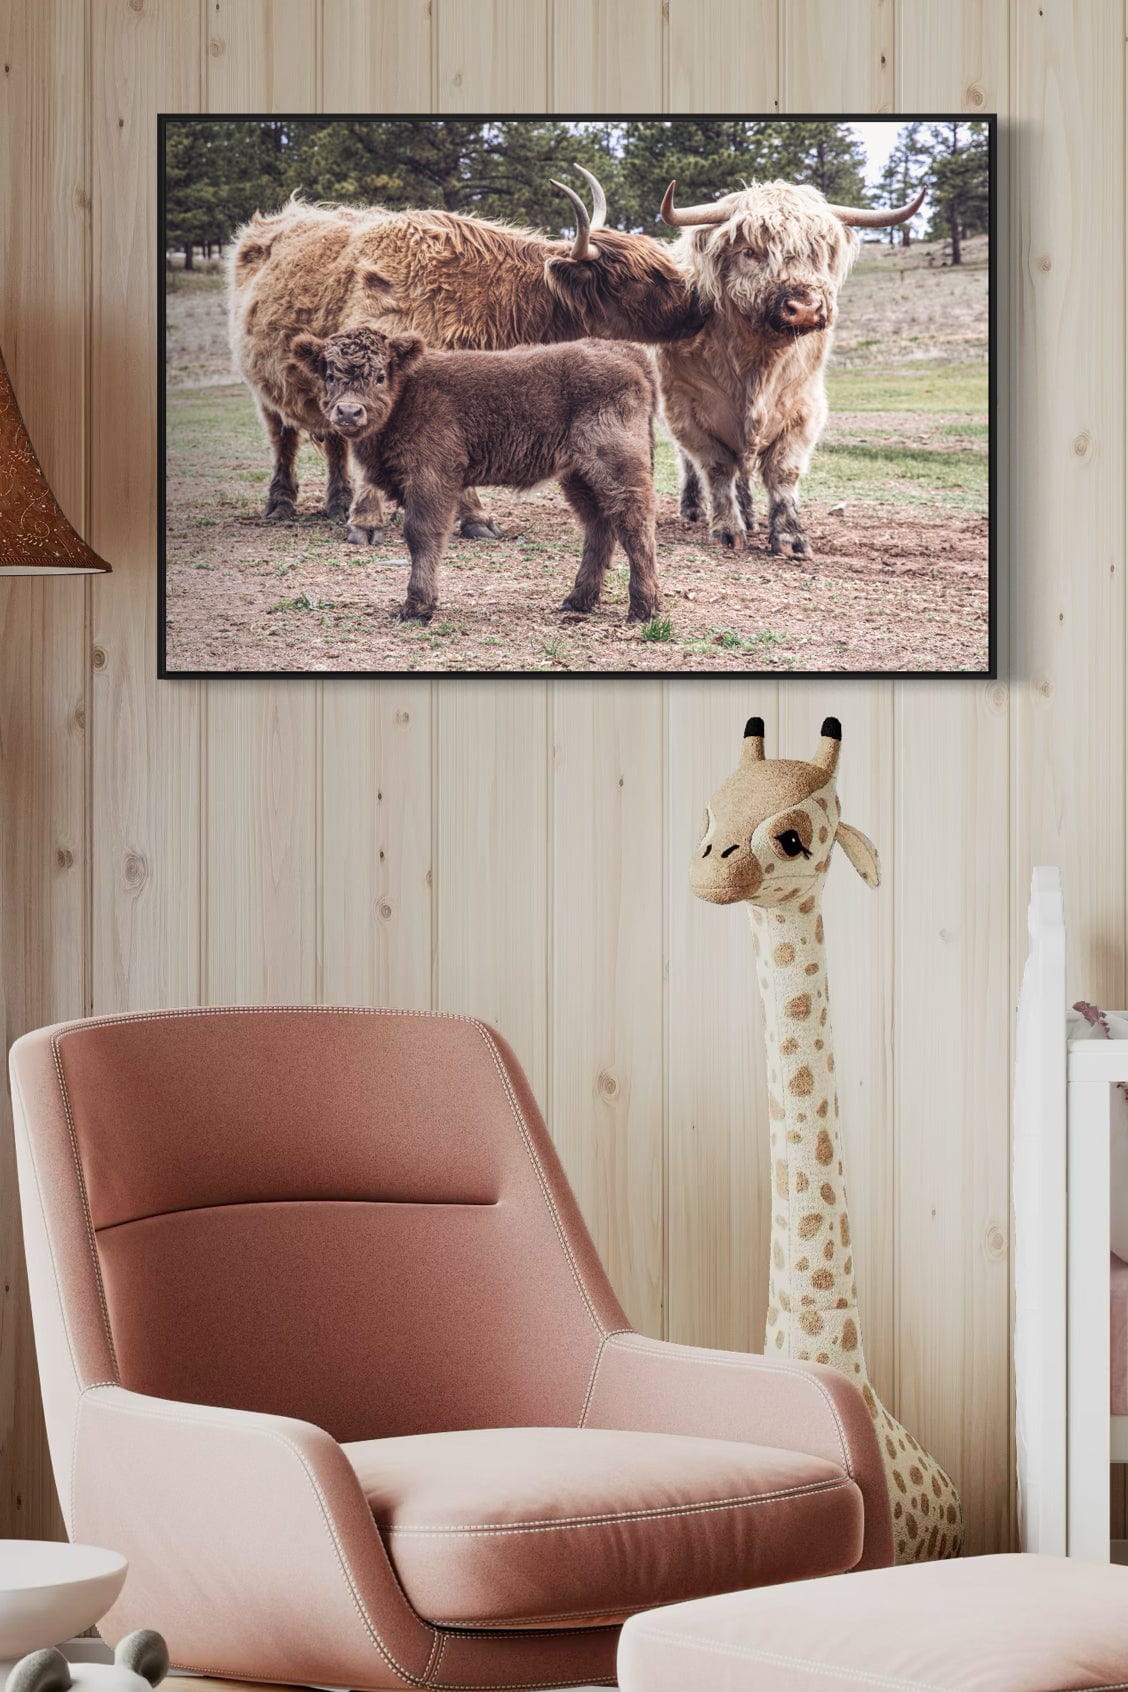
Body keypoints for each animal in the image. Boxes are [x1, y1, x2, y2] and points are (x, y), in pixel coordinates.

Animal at [227, 169, 704, 539]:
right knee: (284, 438)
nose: (699, 305)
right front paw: (367, 523)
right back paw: (281, 504)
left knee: (333, 443)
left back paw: (337, 502)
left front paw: (471, 518)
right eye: (635, 278)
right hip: (267, 385)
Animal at [288, 326, 661, 626]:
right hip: (578, 476)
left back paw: (643, 609)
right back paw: (578, 600)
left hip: (617, 467)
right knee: (599, 526)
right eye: (330, 375)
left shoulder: (432, 476)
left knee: (634, 526)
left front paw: (417, 607)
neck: (407, 394)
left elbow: (421, 534)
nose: (349, 411)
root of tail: (621, 350)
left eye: (380, 376)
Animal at [655, 178, 926, 557]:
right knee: (695, 464)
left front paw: (790, 537)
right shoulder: (687, 409)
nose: (806, 307)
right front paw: (727, 530)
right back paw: (694, 509)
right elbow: (717, 468)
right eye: (750, 251)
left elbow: (783, 472)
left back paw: (750, 515)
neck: (758, 366)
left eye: (819, 251)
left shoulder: (803, 410)